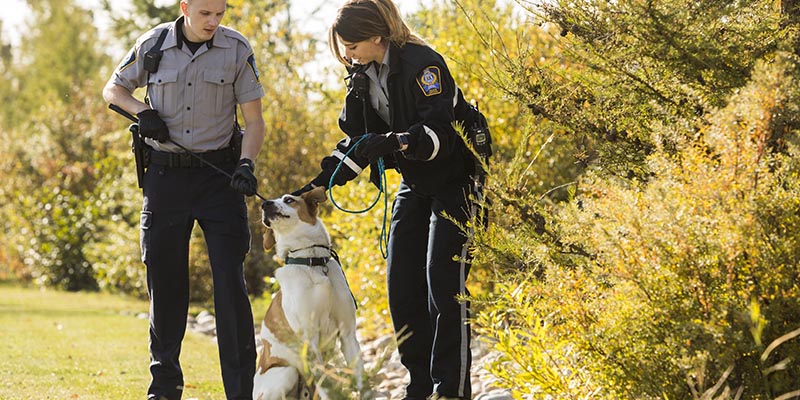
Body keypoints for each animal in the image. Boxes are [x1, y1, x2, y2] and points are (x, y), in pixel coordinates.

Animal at [255, 188, 364, 400]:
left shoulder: (348, 334)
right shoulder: (310, 341)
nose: (265, 204)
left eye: (289, 199)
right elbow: (325, 386)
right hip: (287, 371)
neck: (312, 261)